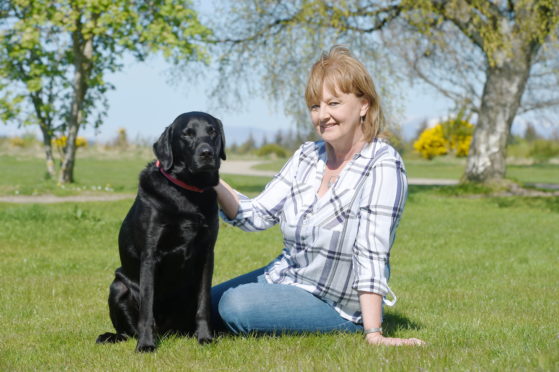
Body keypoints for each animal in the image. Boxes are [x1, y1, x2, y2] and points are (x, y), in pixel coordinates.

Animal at [96, 111, 225, 352]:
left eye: (212, 131)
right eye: (187, 134)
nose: (207, 153)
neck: (187, 192)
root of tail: (168, 331)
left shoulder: (207, 254)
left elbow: (204, 304)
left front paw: (205, 337)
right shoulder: (150, 255)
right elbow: (147, 308)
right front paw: (146, 345)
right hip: (118, 287)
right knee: (127, 330)